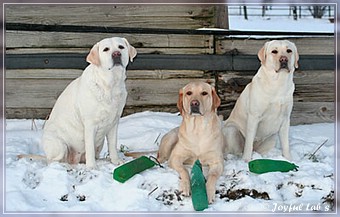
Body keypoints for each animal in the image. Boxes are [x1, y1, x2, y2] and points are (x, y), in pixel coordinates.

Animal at [41, 37, 137, 169]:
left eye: (121, 47)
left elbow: (112, 145)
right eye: (106, 49)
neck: (110, 85)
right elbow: (89, 148)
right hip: (59, 145)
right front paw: (92, 167)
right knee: (53, 161)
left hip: (99, 144)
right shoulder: (90, 124)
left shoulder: (114, 123)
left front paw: (116, 161)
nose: (116, 54)